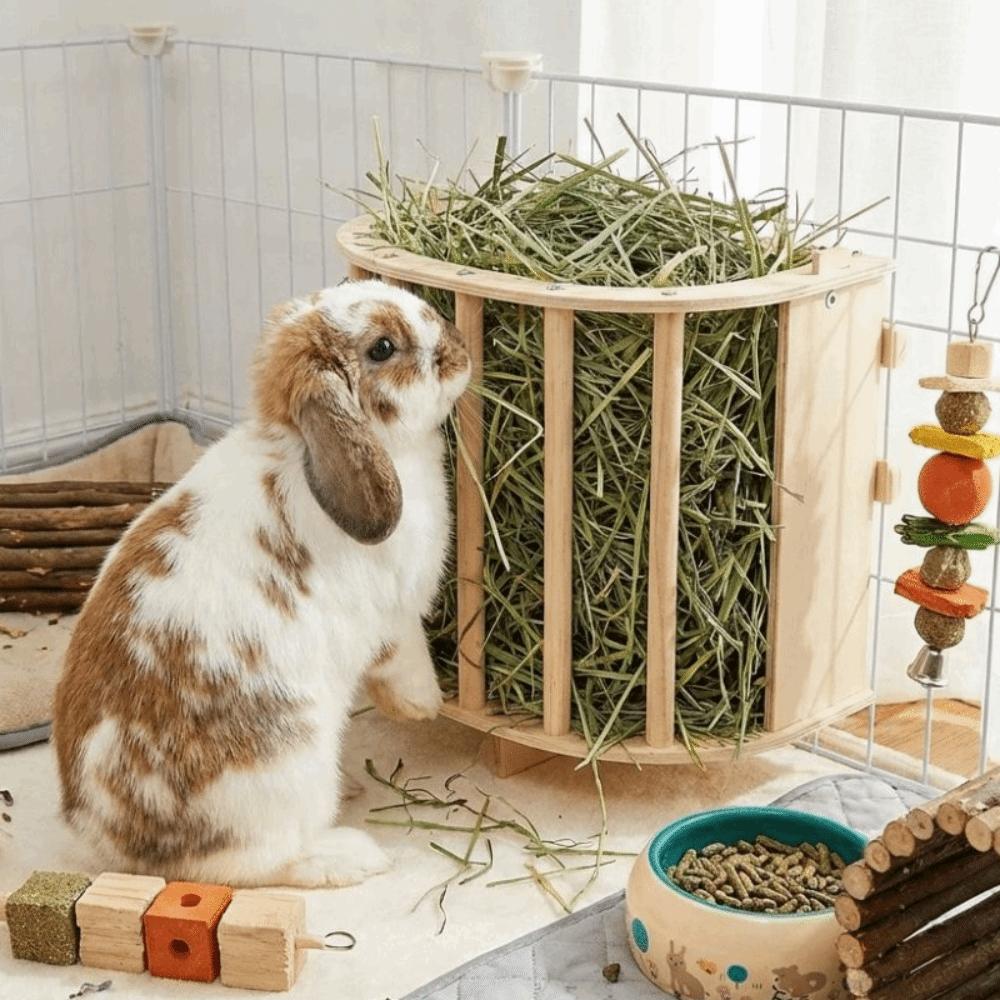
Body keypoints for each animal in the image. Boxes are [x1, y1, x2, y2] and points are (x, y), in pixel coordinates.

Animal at [52, 280, 471, 887]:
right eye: (383, 348)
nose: (459, 349)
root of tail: (114, 844)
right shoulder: (396, 616)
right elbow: (406, 659)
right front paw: (424, 706)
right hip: (292, 767)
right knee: (257, 863)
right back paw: (350, 857)